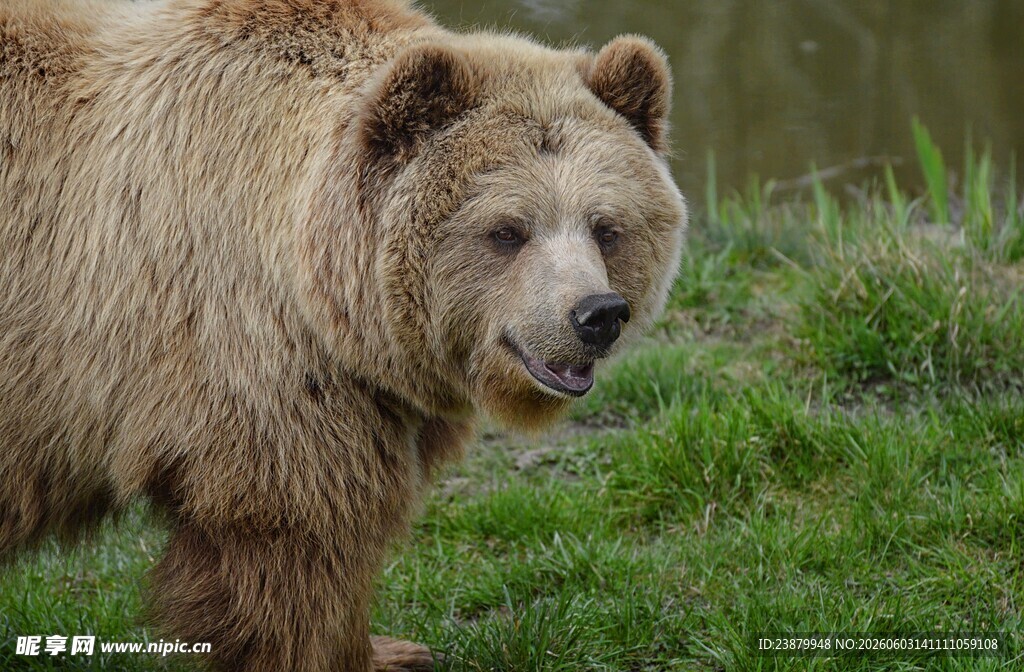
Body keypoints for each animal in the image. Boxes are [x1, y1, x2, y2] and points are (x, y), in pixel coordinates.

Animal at [0, 0, 687, 670]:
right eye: (507, 230)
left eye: (606, 227)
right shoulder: (252, 365)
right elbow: (297, 544)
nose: (596, 314)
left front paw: (391, 649)